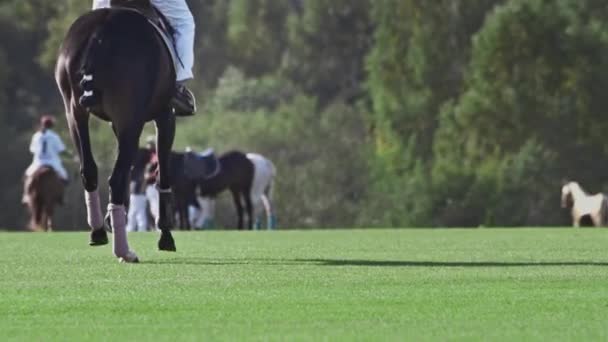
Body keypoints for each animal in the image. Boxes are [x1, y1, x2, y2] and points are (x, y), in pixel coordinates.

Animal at [55, 0, 180, 262]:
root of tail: (97, 35)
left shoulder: (116, 123)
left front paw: (109, 222)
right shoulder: (165, 114)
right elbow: (162, 172)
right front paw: (165, 235)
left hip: (73, 111)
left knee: (90, 170)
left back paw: (98, 231)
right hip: (130, 117)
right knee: (116, 178)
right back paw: (124, 251)